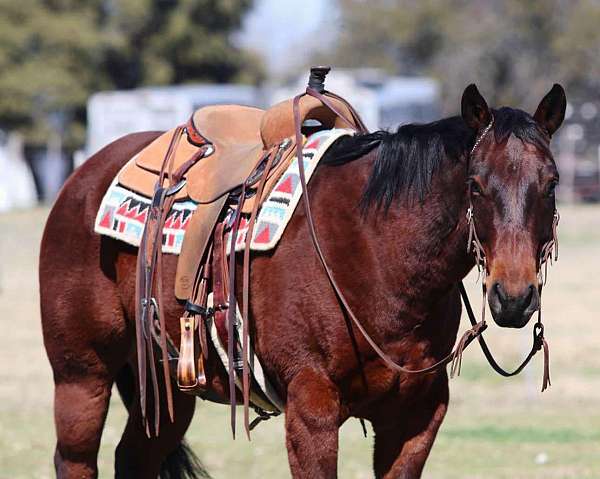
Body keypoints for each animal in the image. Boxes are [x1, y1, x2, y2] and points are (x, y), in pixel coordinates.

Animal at [39, 84, 564, 478]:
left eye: (552, 183)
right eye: (475, 184)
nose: (513, 297)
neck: (375, 251)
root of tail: (82, 177)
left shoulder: (416, 418)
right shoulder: (311, 410)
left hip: (169, 384)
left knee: (133, 458)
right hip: (81, 375)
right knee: (74, 459)